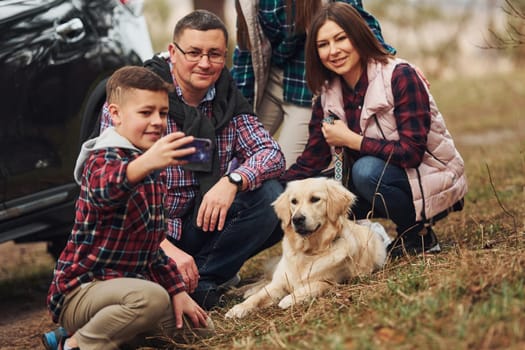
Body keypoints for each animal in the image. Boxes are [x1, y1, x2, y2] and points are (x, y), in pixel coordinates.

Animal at [223, 179, 386, 318]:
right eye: (293, 201)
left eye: (315, 199)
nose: (297, 219)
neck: (308, 252)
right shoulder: (279, 282)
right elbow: (259, 296)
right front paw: (239, 308)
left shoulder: (333, 281)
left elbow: (313, 286)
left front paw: (288, 299)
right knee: (264, 281)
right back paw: (242, 291)